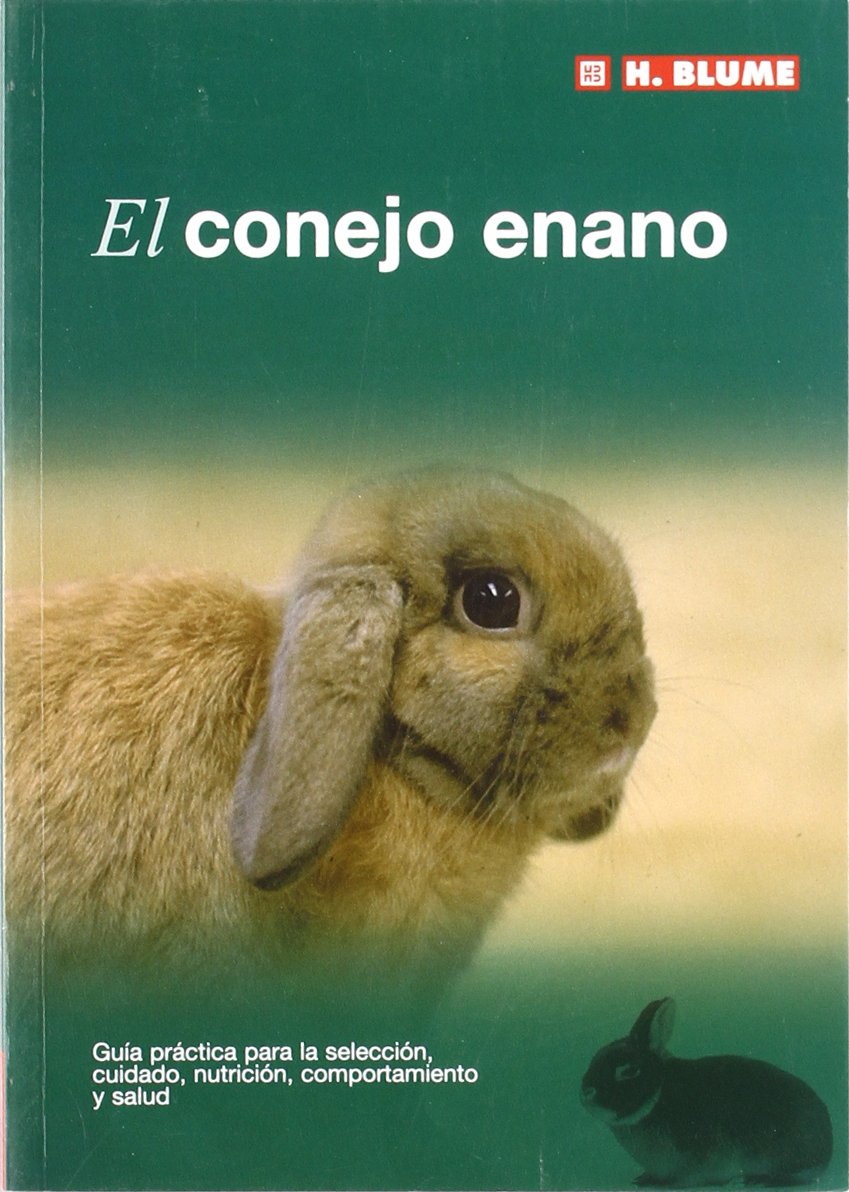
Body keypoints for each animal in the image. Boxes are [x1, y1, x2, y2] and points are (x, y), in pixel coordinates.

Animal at [581, 997, 834, 1188]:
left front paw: (659, 1184)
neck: (657, 1097)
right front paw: (643, 1179)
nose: (586, 1092)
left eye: (629, 1071)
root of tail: (827, 1149)